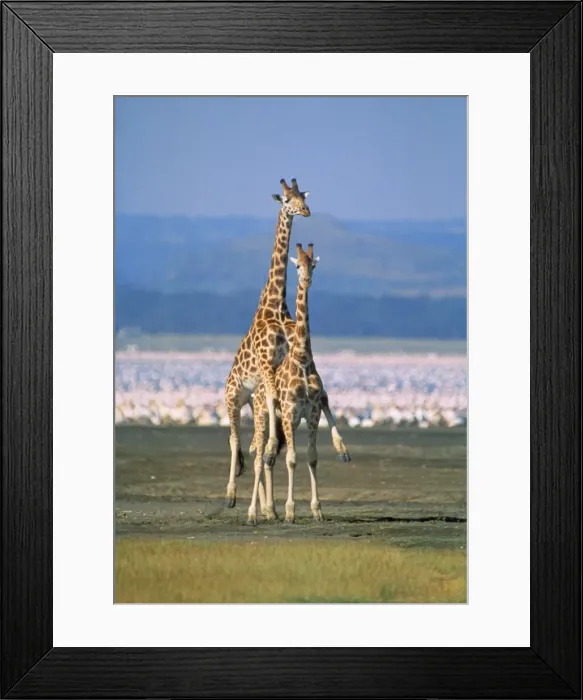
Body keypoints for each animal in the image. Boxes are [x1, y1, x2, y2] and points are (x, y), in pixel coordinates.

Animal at [248, 244, 327, 525]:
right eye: (297, 265)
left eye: (312, 264)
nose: (306, 280)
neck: (302, 359)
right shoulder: (291, 413)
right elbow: (292, 459)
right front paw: (291, 511)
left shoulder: (313, 412)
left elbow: (312, 457)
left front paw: (317, 510)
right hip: (262, 417)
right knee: (258, 456)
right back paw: (253, 513)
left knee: (267, 459)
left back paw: (269, 509)